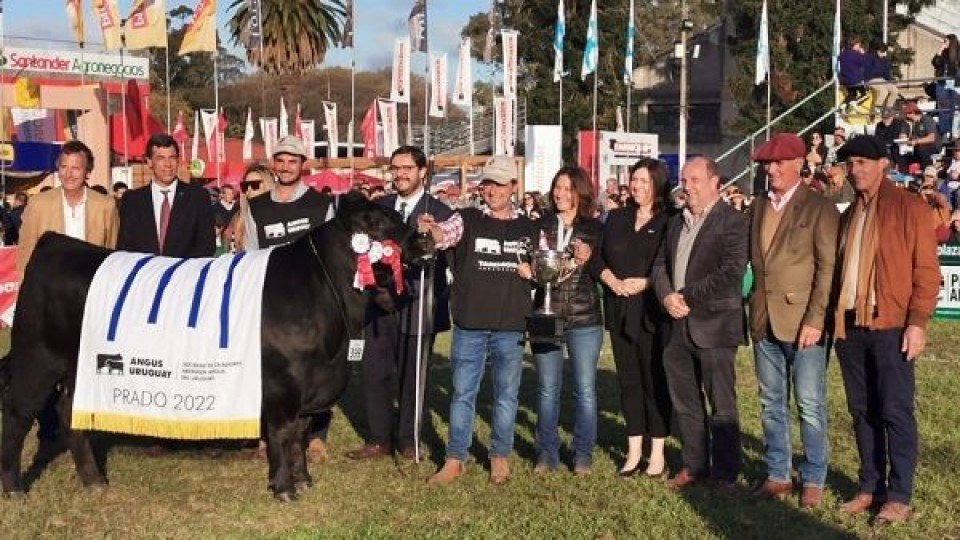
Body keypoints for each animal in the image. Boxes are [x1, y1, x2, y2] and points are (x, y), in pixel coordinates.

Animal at [0, 194, 430, 502]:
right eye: (375, 223)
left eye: (395, 214)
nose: (423, 239)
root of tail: (55, 243)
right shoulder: (281, 384)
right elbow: (282, 434)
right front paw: (283, 487)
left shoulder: (310, 386)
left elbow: (300, 435)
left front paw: (304, 479)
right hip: (37, 359)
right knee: (18, 414)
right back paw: (15, 488)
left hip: (78, 368)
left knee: (68, 412)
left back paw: (93, 481)